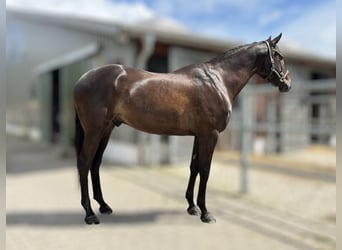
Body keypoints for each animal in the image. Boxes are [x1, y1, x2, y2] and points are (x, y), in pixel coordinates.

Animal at [73, 33, 290, 225]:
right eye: (278, 55)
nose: (287, 84)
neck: (217, 80)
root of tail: (82, 79)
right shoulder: (210, 134)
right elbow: (205, 169)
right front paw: (206, 213)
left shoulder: (199, 135)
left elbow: (194, 167)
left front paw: (192, 207)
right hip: (94, 131)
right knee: (84, 162)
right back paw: (90, 214)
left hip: (106, 129)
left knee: (95, 163)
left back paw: (103, 205)